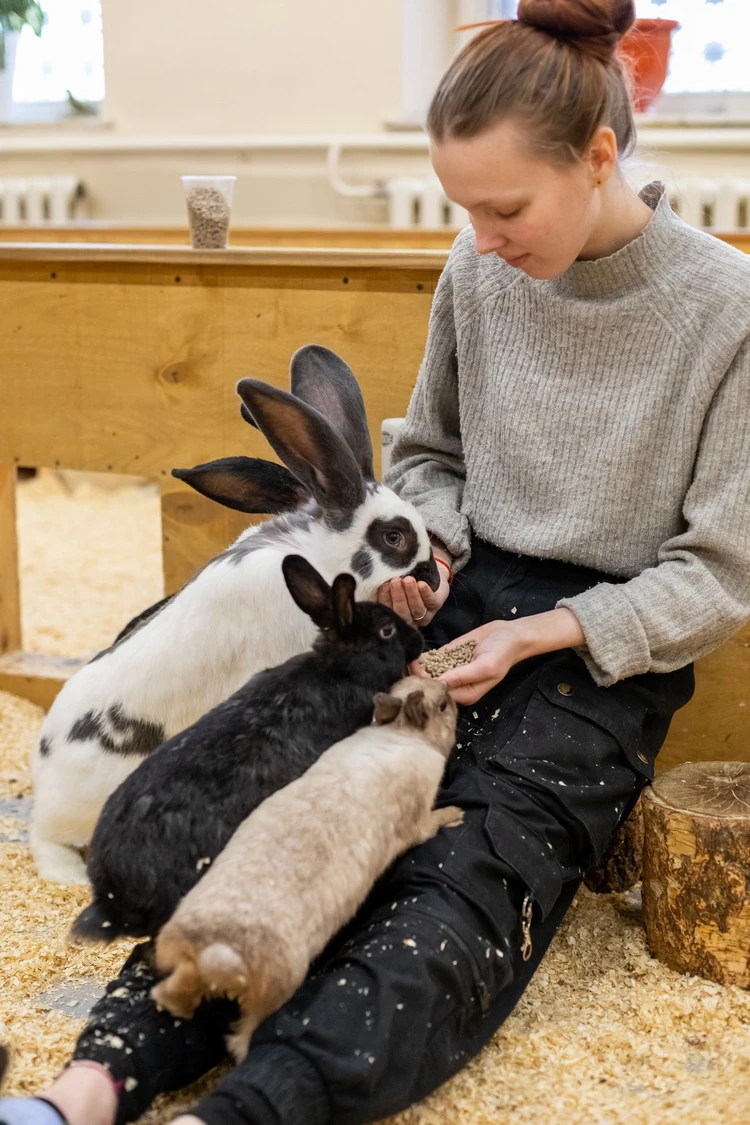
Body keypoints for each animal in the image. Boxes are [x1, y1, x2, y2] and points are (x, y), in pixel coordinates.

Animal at [30, 344, 440, 886]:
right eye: (394, 537)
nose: (434, 577)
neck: (319, 556)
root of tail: (42, 771)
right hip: (72, 814)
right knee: (45, 840)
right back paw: (70, 874)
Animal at [150, 670, 463, 1057]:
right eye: (443, 706)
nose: (452, 695)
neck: (402, 734)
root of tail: (217, 952)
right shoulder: (418, 819)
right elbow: (429, 824)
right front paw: (456, 814)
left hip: (189, 966)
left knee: (176, 990)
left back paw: (171, 1004)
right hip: (277, 988)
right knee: (242, 1036)